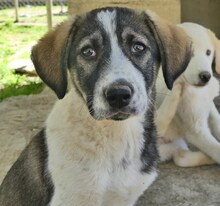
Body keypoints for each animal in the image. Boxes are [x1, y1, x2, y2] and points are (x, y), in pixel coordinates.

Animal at [156, 22, 220, 167]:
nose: (206, 76)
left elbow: (217, 123)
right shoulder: (196, 130)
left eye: (208, 52)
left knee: (180, 157)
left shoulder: (210, 106)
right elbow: (216, 149)